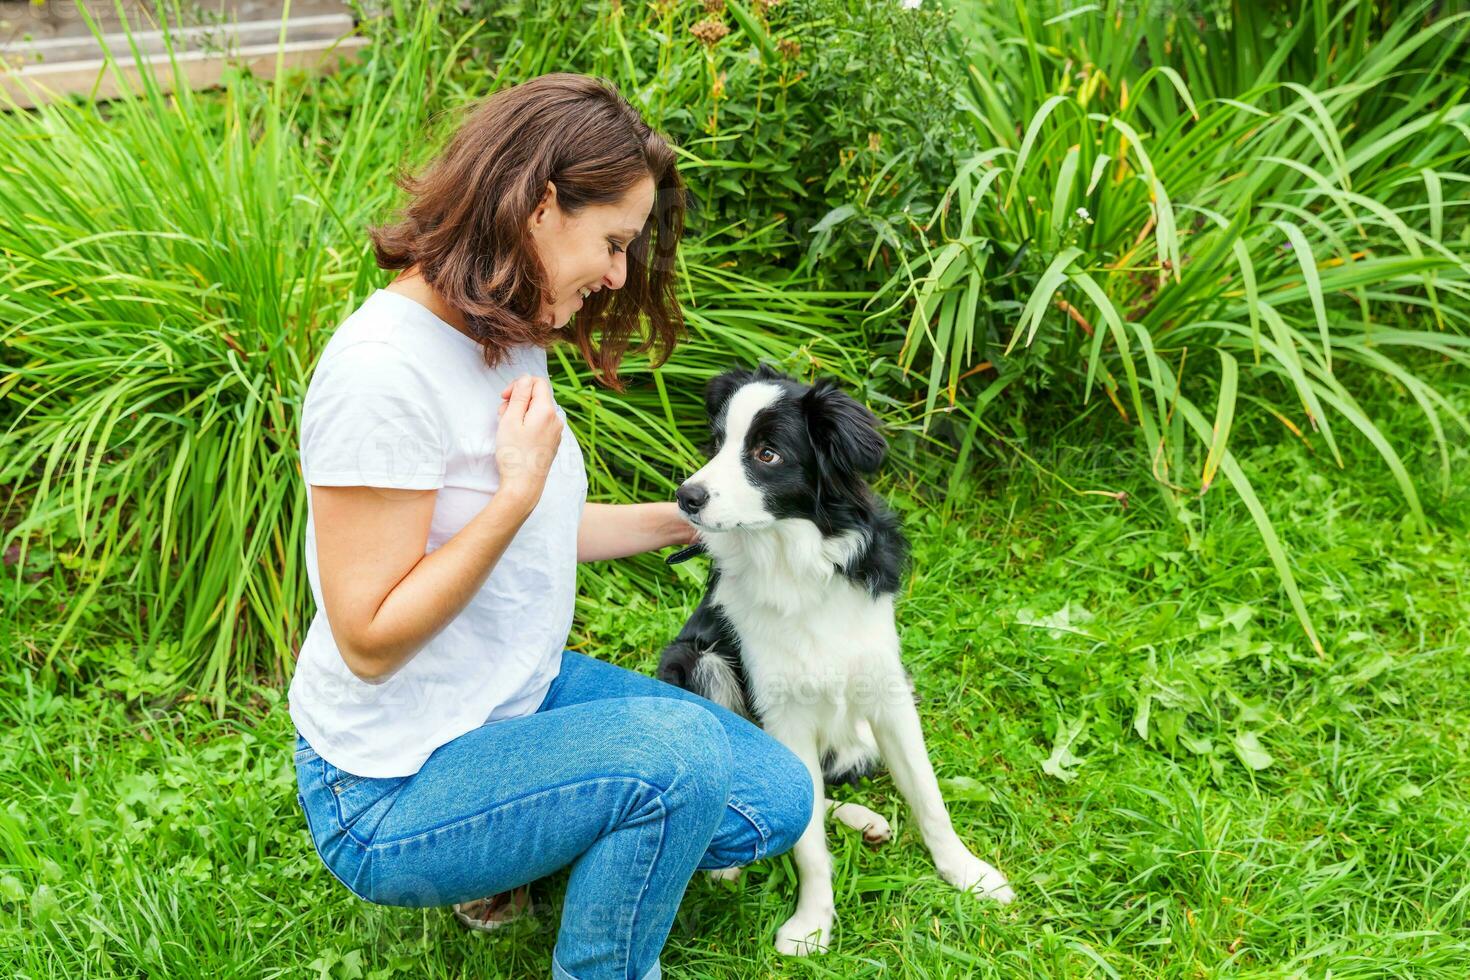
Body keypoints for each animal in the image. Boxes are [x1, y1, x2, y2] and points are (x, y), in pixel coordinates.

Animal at [661, 365, 1017, 957]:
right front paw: (812, 924)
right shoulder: (782, 713)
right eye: (717, 443)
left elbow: (928, 795)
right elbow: (806, 838)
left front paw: (967, 872)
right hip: (696, 662)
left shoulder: (888, 693)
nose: (685, 496)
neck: (793, 563)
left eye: (766, 454)